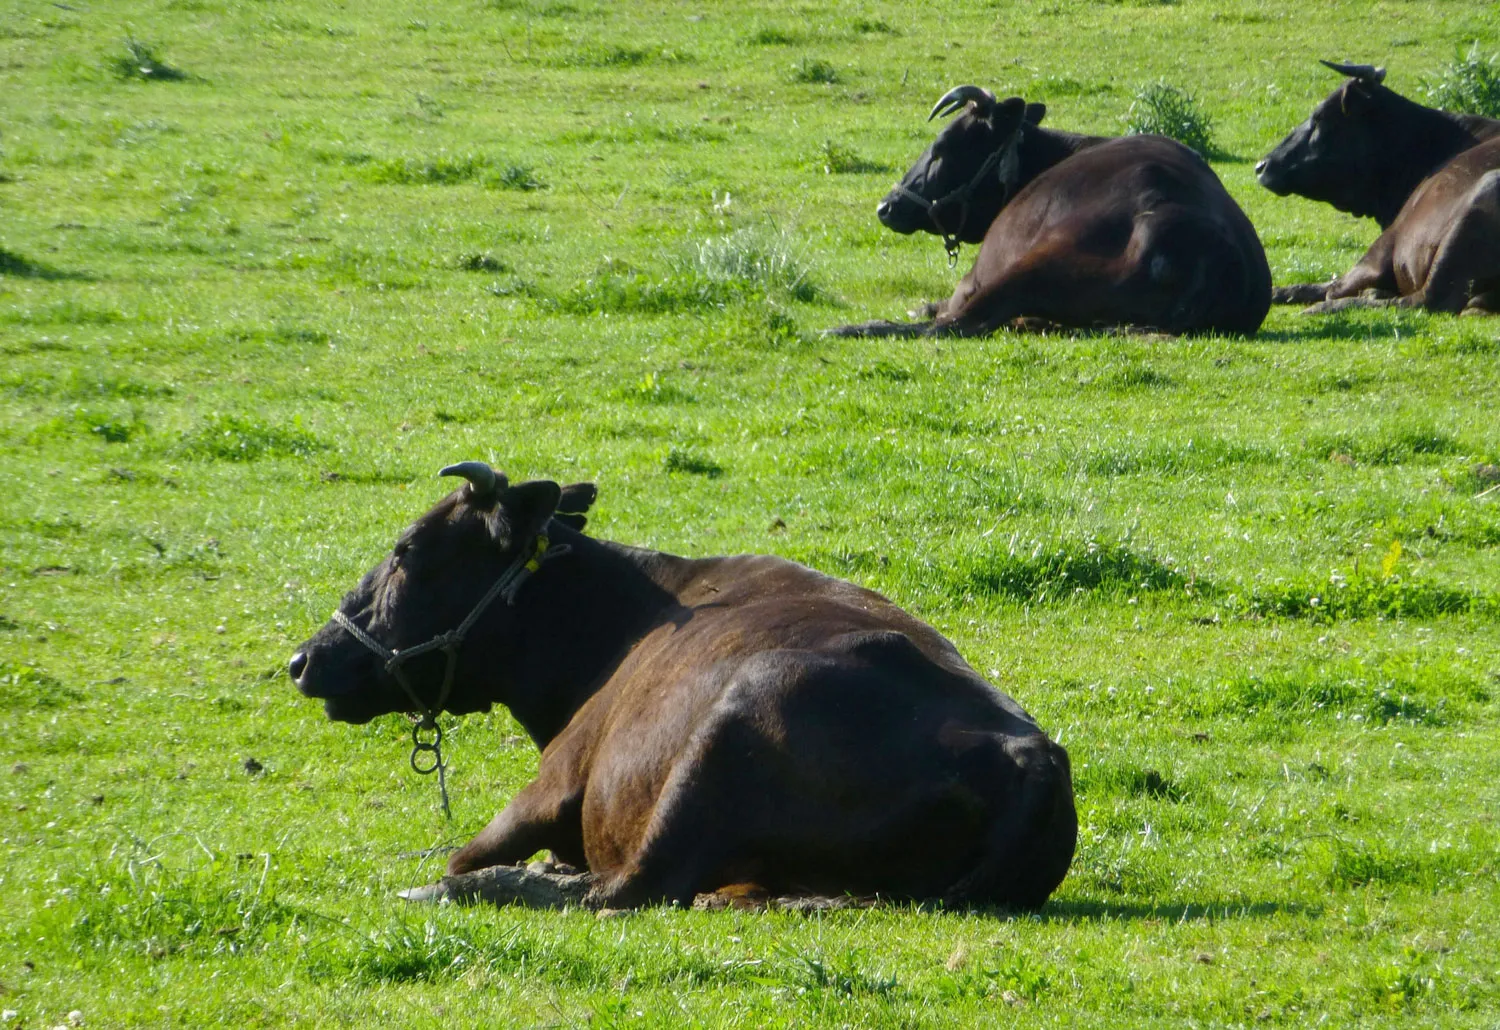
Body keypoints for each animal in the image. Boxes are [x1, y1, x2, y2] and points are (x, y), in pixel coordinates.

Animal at [283, 464, 1080, 905]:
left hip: (722, 742)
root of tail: (1031, 754)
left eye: (407, 550)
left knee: (627, 890)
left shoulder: (556, 778)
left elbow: (464, 850)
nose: (304, 660)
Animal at [828, 87, 1272, 338]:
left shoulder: (975, 280)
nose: (887, 206)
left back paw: (850, 328)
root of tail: (1220, 252)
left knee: (954, 326)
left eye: (940, 148)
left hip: (1039, 264)